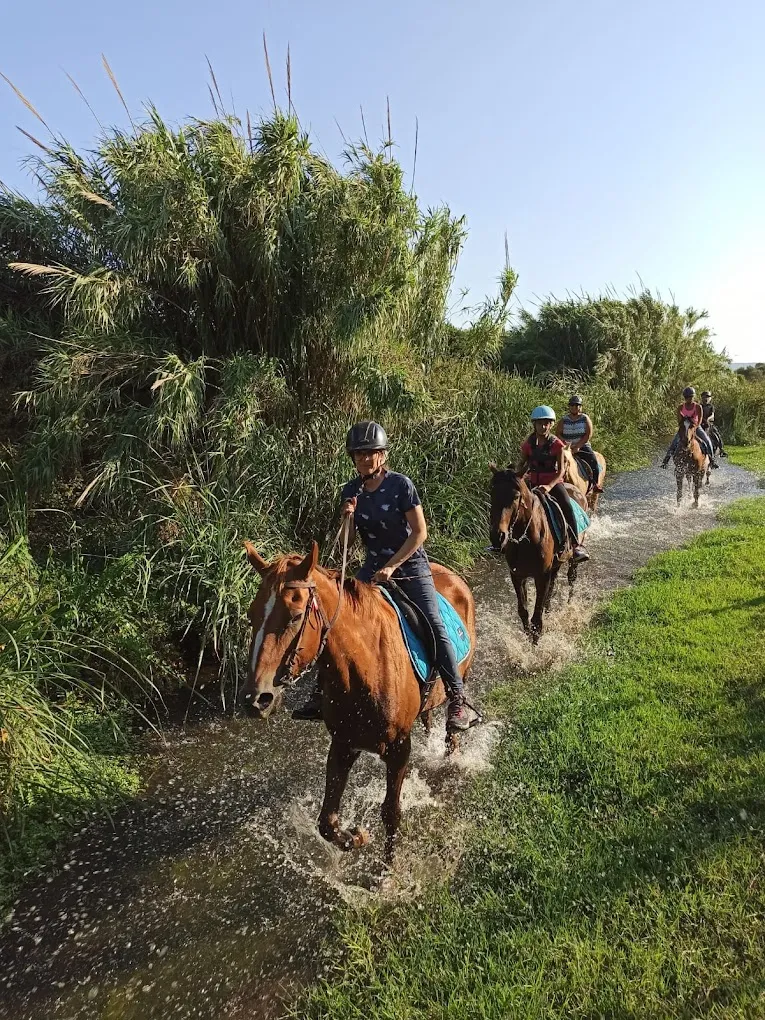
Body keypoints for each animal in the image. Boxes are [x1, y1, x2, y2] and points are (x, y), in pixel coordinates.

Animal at [240, 540, 476, 861]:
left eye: (295, 615)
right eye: (251, 615)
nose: (257, 698)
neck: (366, 667)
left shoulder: (399, 749)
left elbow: (391, 813)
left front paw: (387, 868)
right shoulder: (343, 743)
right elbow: (326, 822)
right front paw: (356, 837)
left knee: (452, 732)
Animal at [489, 465, 589, 641]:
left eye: (516, 496)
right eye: (493, 493)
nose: (497, 537)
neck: (526, 538)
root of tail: (576, 489)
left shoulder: (541, 576)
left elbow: (536, 618)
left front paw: (535, 642)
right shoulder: (517, 576)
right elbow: (523, 611)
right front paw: (528, 637)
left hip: (572, 558)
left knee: (571, 578)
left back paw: (569, 604)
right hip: (556, 563)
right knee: (553, 584)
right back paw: (549, 610)